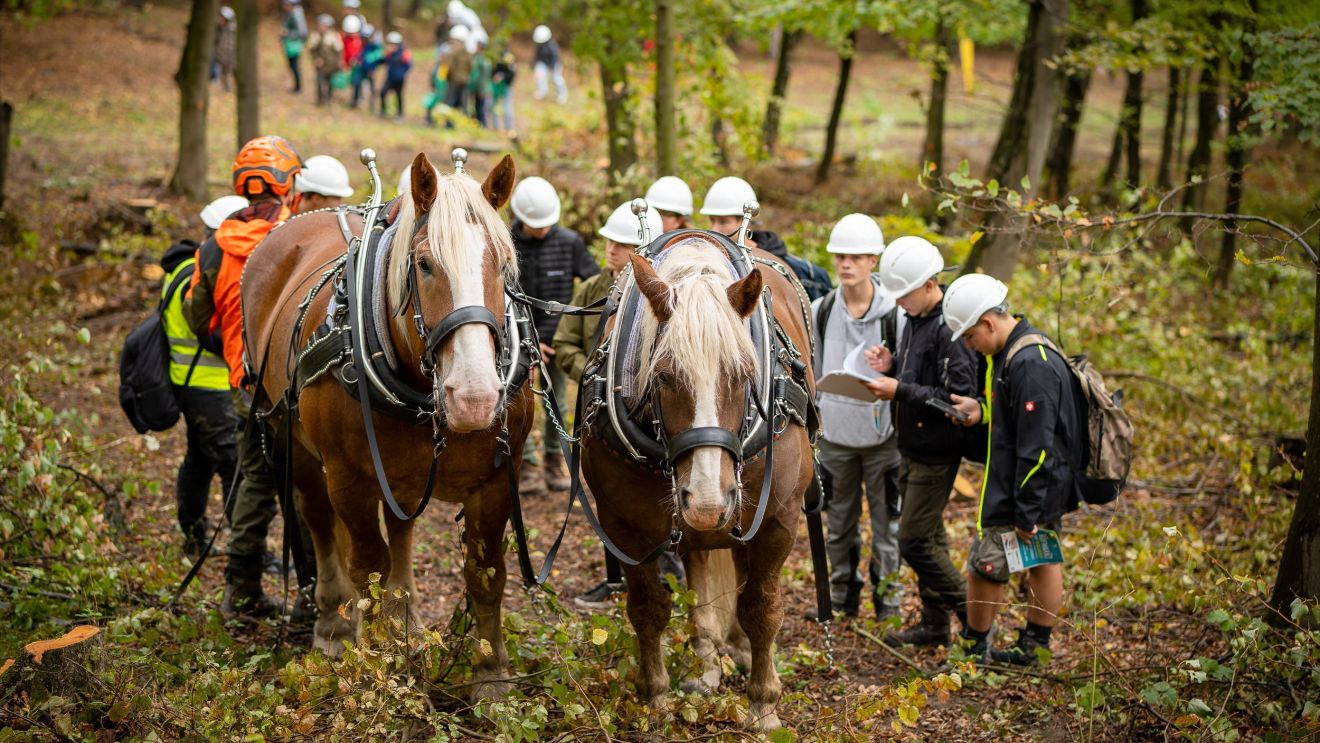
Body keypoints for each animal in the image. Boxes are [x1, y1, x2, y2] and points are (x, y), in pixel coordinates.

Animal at [240, 154, 528, 702]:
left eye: (503, 265)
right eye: (425, 265)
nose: (476, 398)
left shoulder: (497, 480)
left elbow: (485, 574)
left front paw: (491, 678)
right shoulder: (348, 478)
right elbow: (366, 565)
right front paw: (376, 672)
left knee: (401, 531)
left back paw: (404, 622)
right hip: (295, 443)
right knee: (319, 523)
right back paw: (335, 624)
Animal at [586, 238, 818, 733]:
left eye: (745, 374)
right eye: (663, 376)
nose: (709, 501)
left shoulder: (779, 519)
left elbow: (762, 608)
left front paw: (763, 705)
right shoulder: (622, 526)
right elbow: (648, 608)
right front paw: (654, 697)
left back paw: (737, 649)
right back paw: (704, 662)